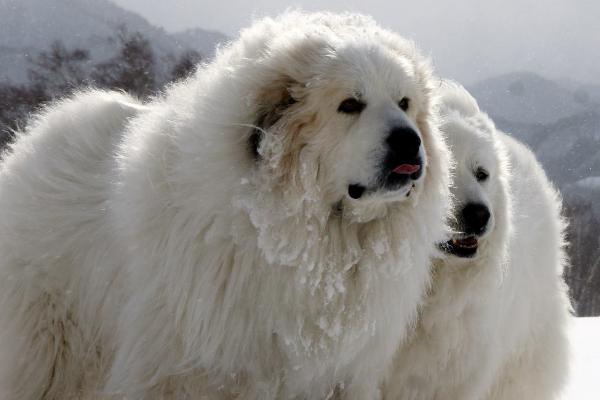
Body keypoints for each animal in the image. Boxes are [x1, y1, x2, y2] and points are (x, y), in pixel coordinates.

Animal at [0, 12, 450, 400]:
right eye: (350, 105)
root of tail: (34, 140)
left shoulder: (339, 375)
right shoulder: (189, 372)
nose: (409, 140)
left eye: (405, 103)